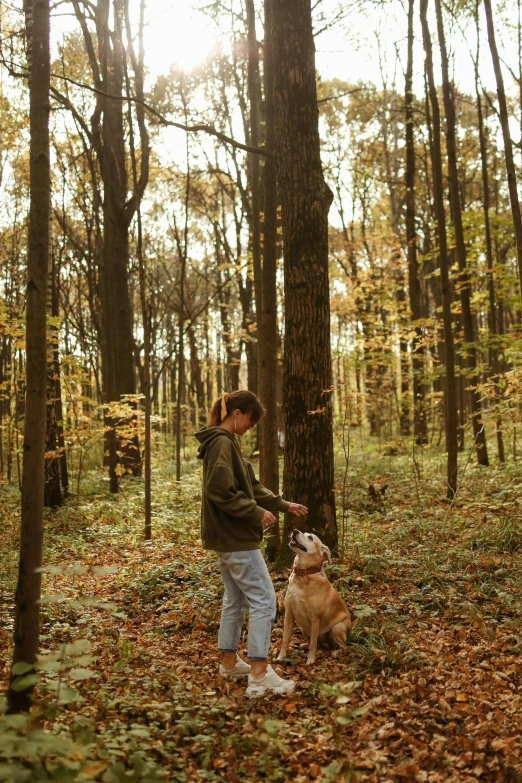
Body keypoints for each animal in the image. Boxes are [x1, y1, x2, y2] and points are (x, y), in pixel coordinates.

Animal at [274, 528, 352, 664]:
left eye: (310, 537)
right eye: (303, 533)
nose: (295, 530)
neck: (304, 574)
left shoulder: (315, 619)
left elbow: (313, 644)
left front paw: (310, 660)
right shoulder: (289, 614)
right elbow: (285, 639)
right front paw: (281, 656)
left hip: (338, 628)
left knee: (343, 646)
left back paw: (336, 652)